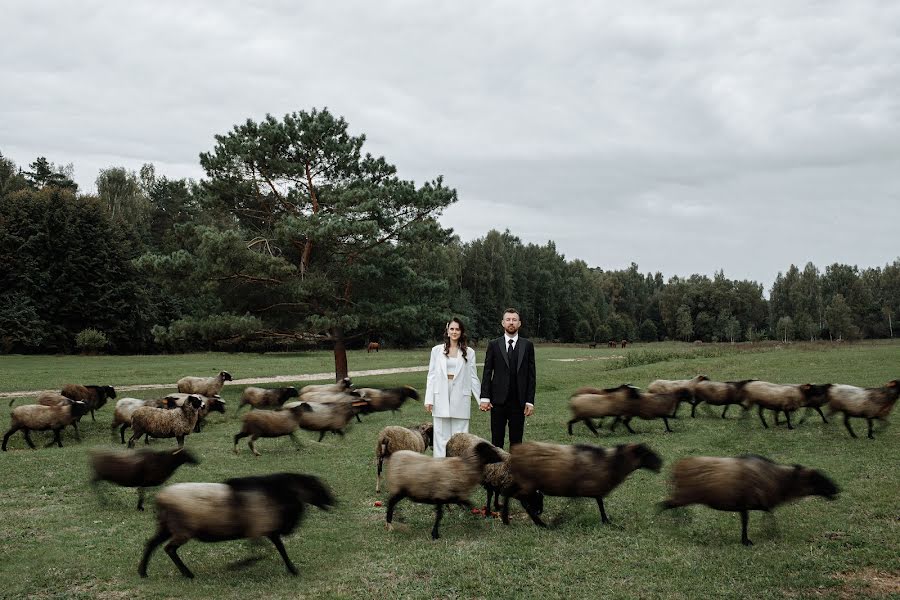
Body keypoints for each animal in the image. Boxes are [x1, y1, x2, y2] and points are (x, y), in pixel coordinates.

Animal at [139, 472, 336, 580]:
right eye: (318, 487)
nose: (335, 502)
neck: (278, 494)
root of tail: (160, 498)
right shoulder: (258, 528)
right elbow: (265, 551)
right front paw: (237, 566)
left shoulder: (269, 531)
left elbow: (278, 549)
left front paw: (292, 569)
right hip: (182, 530)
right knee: (169, 549)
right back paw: (188, 574)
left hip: (166, 526)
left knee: (151, 544)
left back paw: (143, 572)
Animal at [506, 438, 660, 528]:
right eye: (646, 454)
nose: (661, 463)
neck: (611, 462)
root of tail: (515, 451)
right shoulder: (582, 489)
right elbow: (584, 504)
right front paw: (559, 520)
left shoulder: (593, 489)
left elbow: (600, 504)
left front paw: (606, 521)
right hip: (527, 483)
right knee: (513, 496)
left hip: (528, 485)